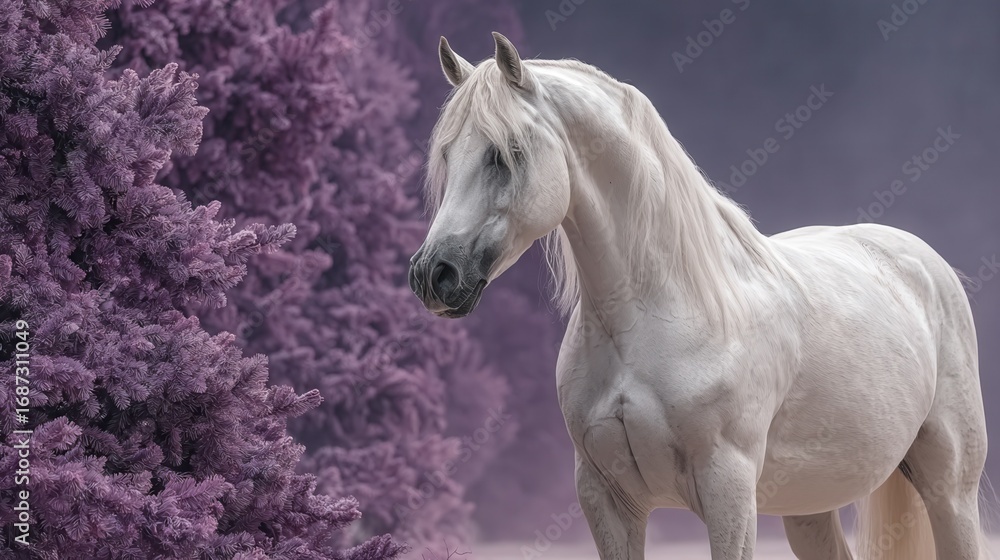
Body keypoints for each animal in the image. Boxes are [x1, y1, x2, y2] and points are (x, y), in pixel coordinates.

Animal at [407, 32, 989, 559]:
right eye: (448, 154)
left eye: (507, 153)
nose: (434, 274)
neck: (656, 316)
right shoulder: (605, 498)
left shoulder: (727, 488)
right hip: (808, 508)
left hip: (949, 492)